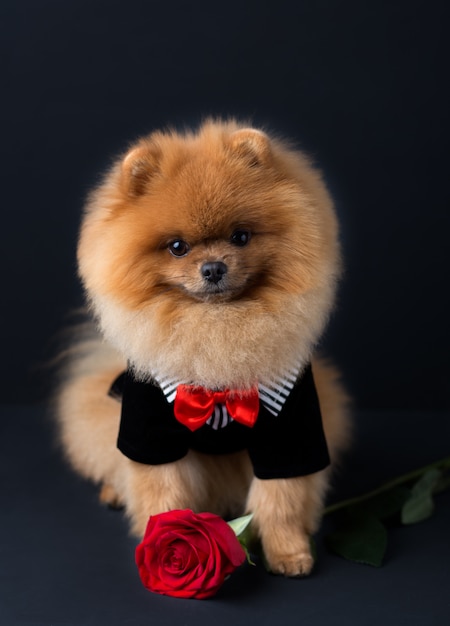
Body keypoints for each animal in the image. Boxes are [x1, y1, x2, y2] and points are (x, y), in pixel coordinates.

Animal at [56, 119, 350, 572]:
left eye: (241, 236)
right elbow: (163, 496)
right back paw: (112, 491)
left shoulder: (290, 432)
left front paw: (289, 552)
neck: (214, 332)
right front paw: (163, 546)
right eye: (177, 246)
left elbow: (280, 501)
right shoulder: (151, 435)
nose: (213, 268)